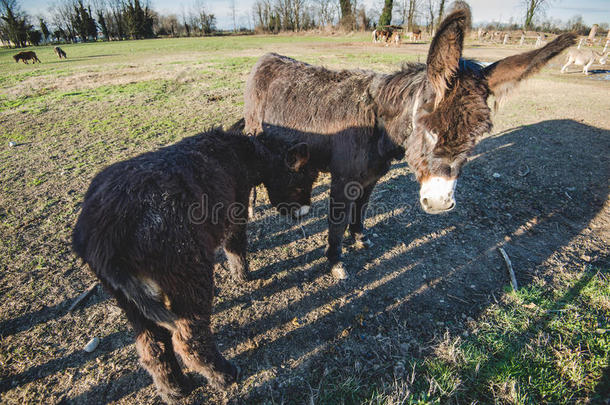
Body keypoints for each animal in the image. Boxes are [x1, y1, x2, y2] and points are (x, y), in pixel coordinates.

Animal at [243, 7, 576, 278]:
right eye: (428, 129)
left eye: (478, 135)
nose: (440, 203)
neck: (378, 124)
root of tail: (267, 56)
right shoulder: (343, 180)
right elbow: (337, 221)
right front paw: (336, 262)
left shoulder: (371, 177)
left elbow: (361, 210)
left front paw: (360, 238)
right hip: (253, 128)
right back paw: (250, 209)